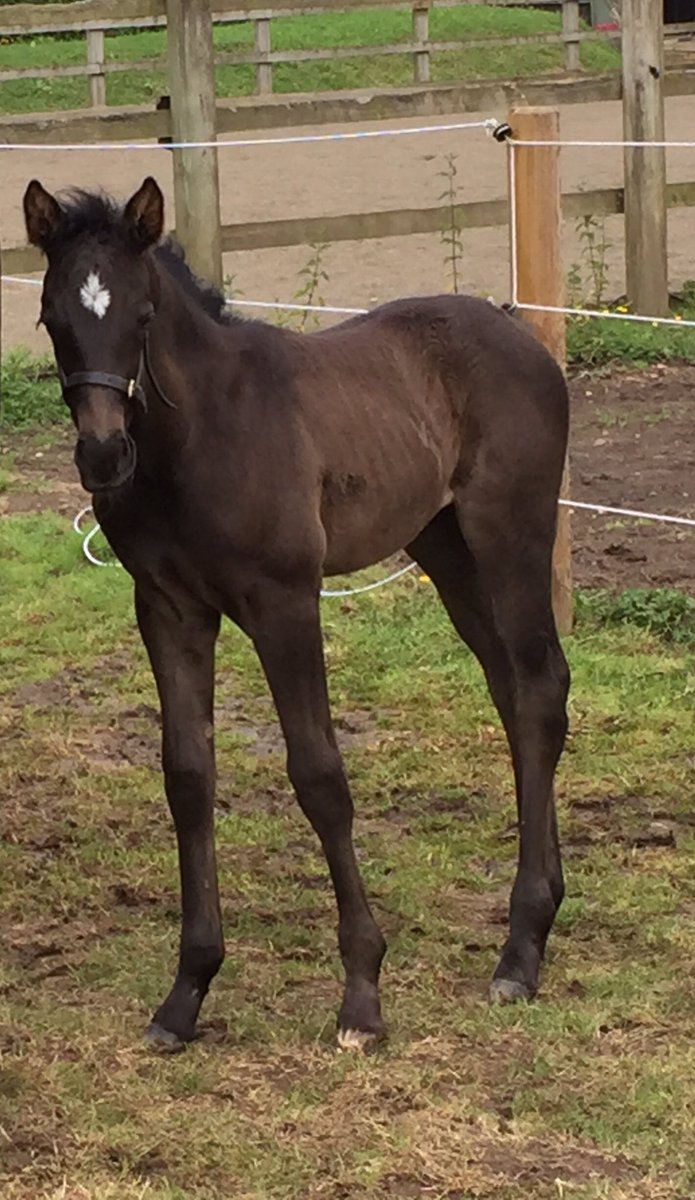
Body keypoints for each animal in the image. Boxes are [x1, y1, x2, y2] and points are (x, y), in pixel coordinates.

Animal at [23, 176, 570, 1053]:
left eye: (141, 315)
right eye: (51, 316)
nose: (103, 456)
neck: (200, 435)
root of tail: (514, 328)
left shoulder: (284, 602)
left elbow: (318, 775)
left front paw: (361, 999)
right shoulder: (169, 608)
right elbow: (188, 775)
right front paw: (185, 995)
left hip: (508, 533)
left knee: (540, 688)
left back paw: (519, 954)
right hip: (443, 545)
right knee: (511, 692)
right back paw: (540, 914)